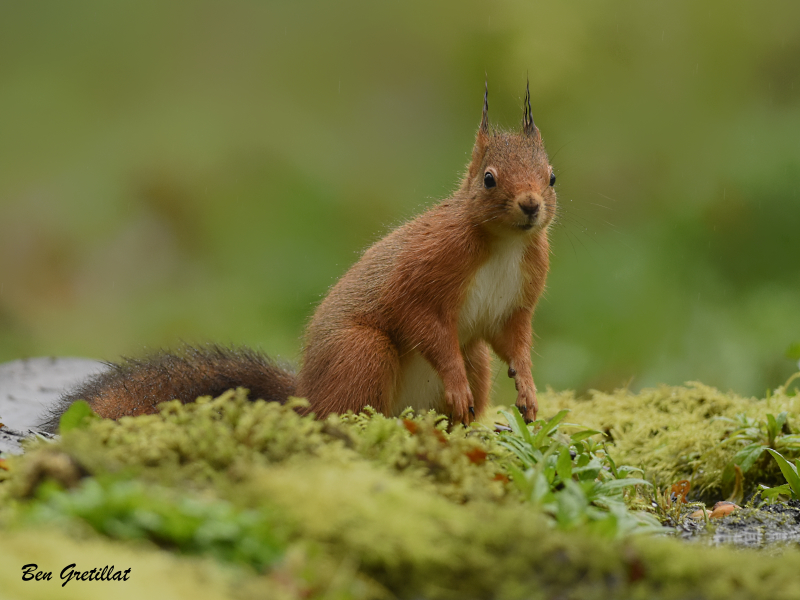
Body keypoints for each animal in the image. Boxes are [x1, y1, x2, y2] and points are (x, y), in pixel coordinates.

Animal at [45, 82, 556, 432]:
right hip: (360, 352)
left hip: (474, 359)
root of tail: (305, 396)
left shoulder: (516, 302)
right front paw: (454, 380)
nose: (531, 205)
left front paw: (528, 393)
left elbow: (515, 342)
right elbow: (422, 323)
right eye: (488, 179)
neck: (503, 245)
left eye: (551, 176)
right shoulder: (425, 271)